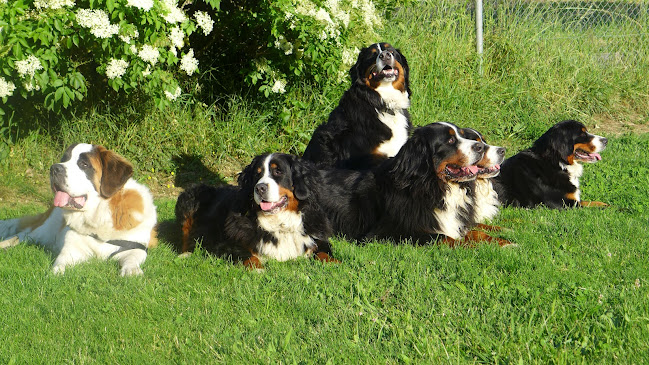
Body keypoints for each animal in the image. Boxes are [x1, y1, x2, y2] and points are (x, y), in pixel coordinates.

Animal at [0, 144, 157, 274]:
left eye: (84, 164)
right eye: (64, 159)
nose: (54, 168)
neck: (98, 215)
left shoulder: (135, 247)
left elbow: (132, 258)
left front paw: (132, 270)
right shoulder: (72, 249)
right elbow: (60, 264)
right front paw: (55, 274)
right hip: (45, 229)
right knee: (22, 235)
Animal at [176, 152, 340, 268]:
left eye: (278, 171)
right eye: (257, 173)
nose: (260, 188)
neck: (280, 225)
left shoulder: (315, 236)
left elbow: (324, 250)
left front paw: (334, 262)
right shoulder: (227, 242)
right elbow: (245, 253)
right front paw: (257, 268)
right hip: (191, 196)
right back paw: (185, 254)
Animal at [318, 121, 512, 246]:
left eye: (463, 136)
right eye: (450, 140)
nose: (480, 148)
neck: (432, 186)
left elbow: (476, 230)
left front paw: (505, 241)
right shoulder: (388, 233)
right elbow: (444, 237)